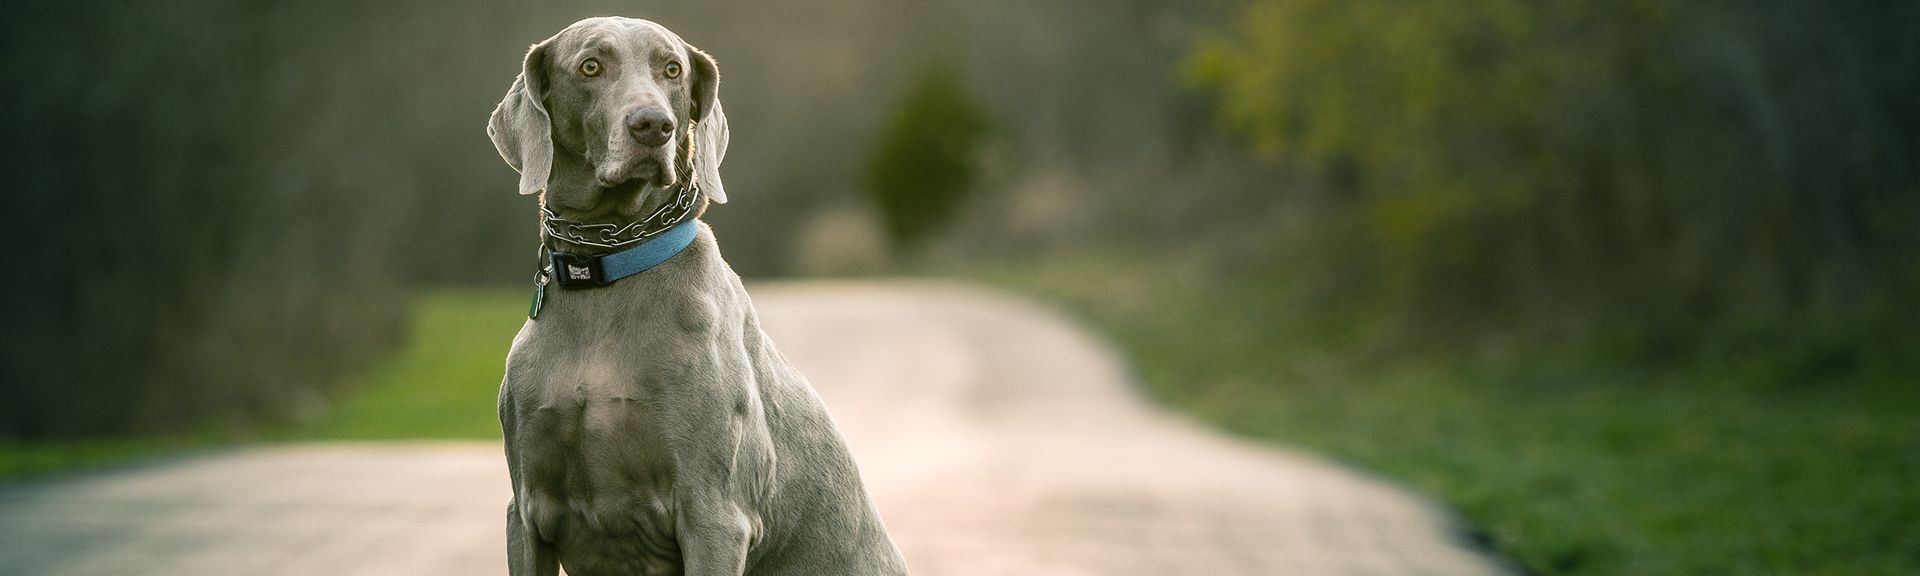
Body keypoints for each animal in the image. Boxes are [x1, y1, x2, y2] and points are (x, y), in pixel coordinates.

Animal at [487, 15, 906, 572]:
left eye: (672, 70)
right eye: (591, 66)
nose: (654, 125)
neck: (606, 265)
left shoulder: (715, 514)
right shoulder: (526, 511)